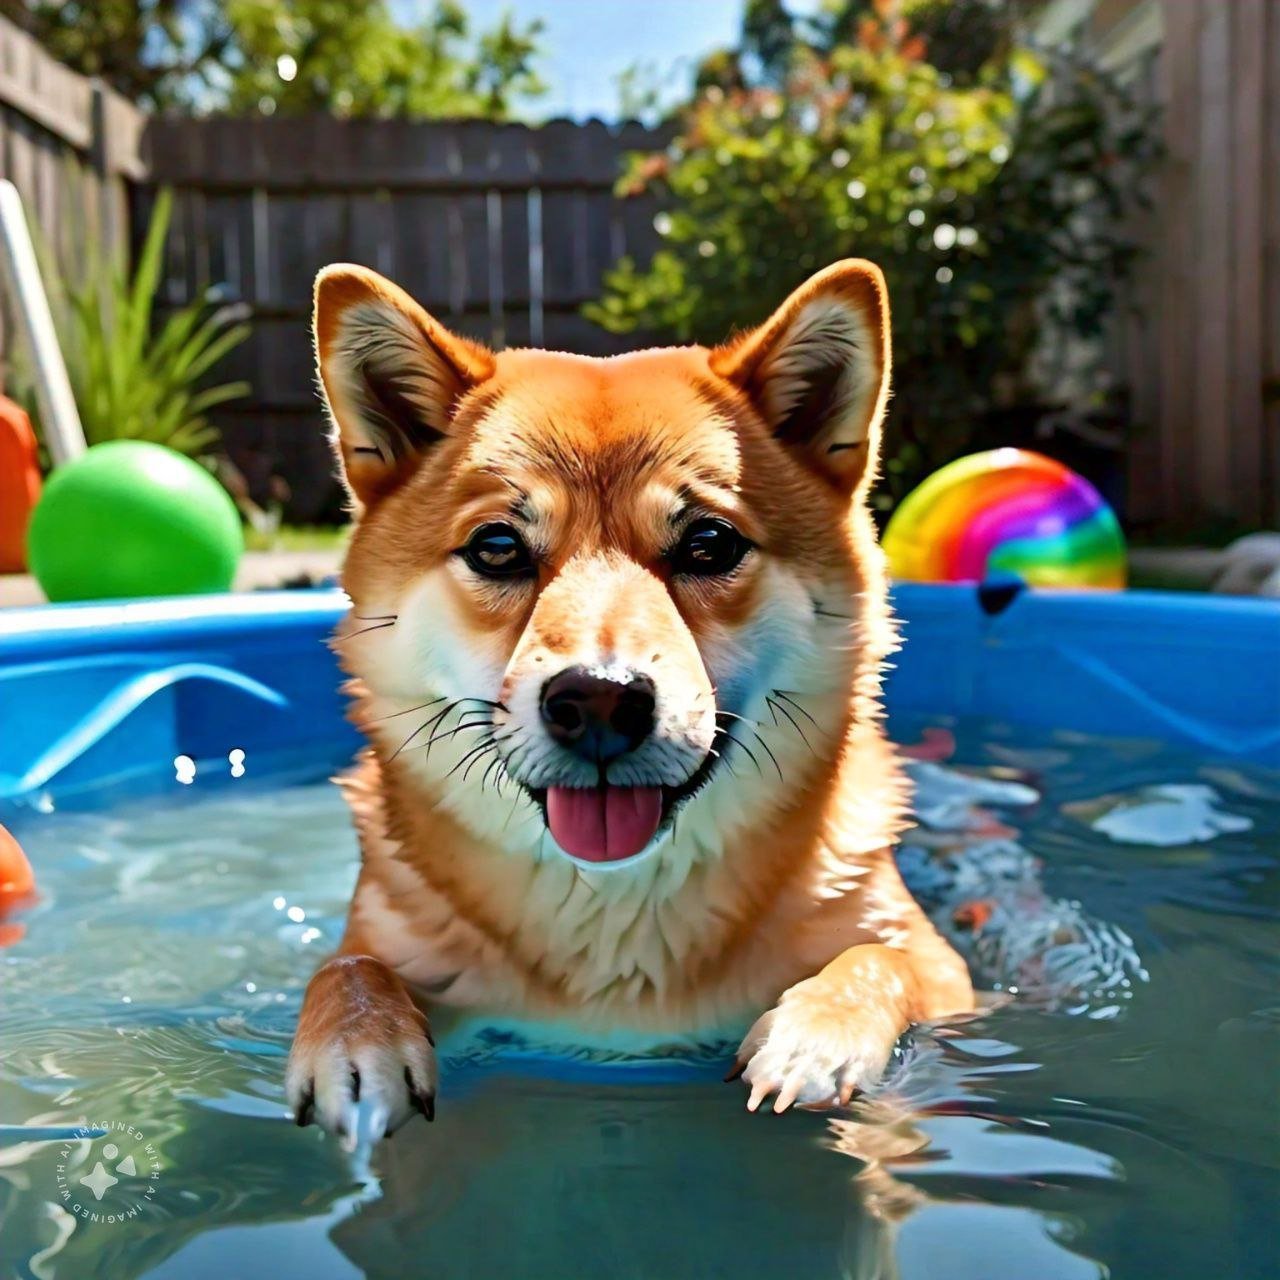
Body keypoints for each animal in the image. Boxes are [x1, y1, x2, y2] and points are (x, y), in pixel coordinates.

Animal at [288, 254, 967, 1136]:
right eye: (498, 547)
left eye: (709, 543)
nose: (600, 700)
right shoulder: (387, 938)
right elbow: (350, 968)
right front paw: (355, 1040)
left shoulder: (948, 974)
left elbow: (881, 958)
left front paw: (818, 1031)